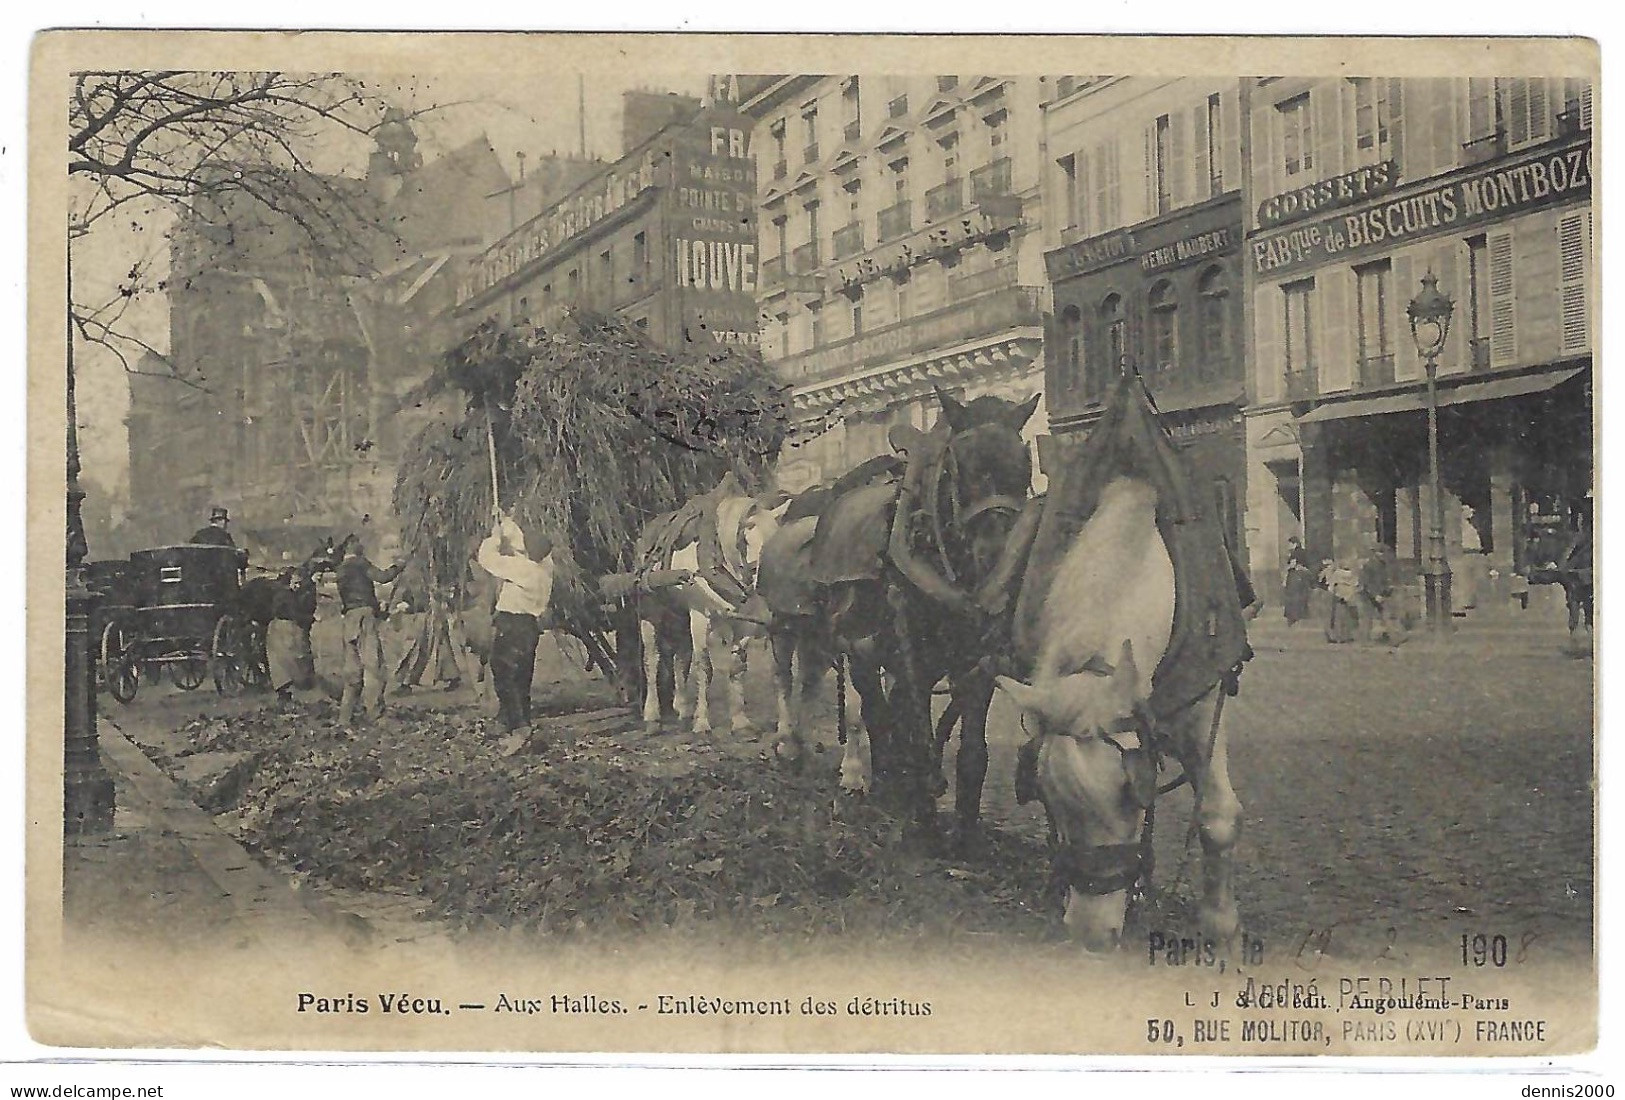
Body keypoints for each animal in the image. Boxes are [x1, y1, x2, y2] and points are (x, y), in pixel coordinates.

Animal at [760, 388, 1040, 838]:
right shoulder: (906, 660)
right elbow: (906, 732)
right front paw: (918, 810)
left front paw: (964, 828)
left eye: (1024, 465)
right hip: (795, 630)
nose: (998, 556)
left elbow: (972, 752)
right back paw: (798, 746)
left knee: (826, 688)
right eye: (959, 467)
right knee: (798, 684)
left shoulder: (973, 663)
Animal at [988, 477, 1241, 955]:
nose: (1091, 936)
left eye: (1130, 795)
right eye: (1045, 795)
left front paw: (1223, 931)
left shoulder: (1202, 711)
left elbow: (1217, 819)